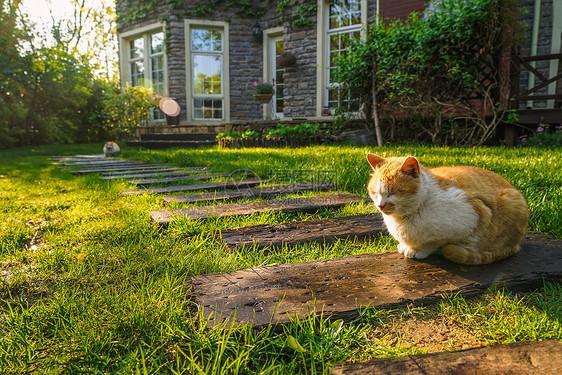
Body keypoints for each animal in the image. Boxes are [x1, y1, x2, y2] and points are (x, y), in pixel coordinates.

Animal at [366, 154, 528, 266]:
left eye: (393, 192)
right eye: (375, 192)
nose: (380, 205)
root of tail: (517, 245)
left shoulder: (471, 218)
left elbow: (434, 243)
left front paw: (417, 250)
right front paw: (406, 246)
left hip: (513, 201)